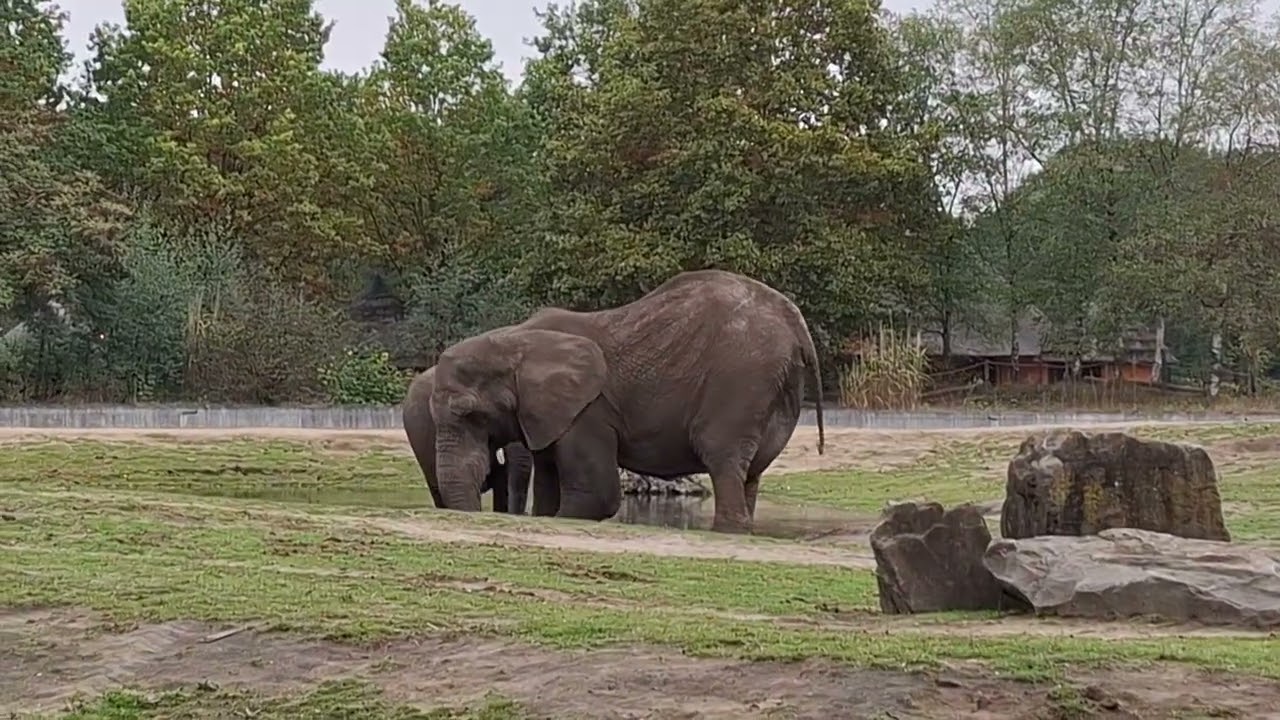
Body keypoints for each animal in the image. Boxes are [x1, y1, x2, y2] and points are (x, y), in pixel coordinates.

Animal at [428, 269, 825, 534]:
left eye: (469, 413)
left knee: (720, 453)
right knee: (751, 468)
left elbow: (598, 494)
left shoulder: (588, 411)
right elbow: (548, 479)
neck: (515, 341)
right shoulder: (547, 415)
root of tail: (796, 321)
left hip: (741, 378)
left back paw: (728, 531)